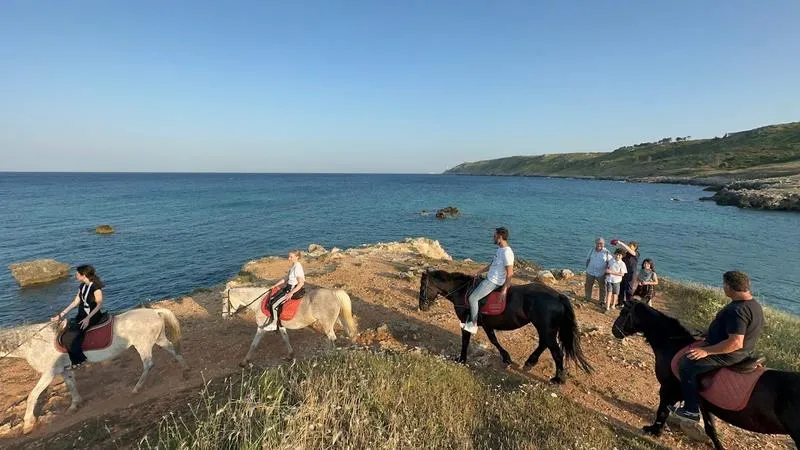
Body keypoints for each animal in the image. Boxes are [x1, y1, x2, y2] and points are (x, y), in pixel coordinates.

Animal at [0, 308, 188, 434]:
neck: (34, 342)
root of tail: (154, 312)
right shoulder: (64, 370)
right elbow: (71, 386)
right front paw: (74, 405)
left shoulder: (49, 373)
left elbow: (32, 396)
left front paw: (28, 424)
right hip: (158, 339)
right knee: (172, 349)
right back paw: (184, 368)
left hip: (143, 344)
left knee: (148, 364)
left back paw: (137, 388)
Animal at [222, 286, 357, 366]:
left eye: (224, 302)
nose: (224, 317)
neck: (261, 302)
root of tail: (334, 293)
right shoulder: (281, 326)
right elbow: (286, 339)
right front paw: (290, 355)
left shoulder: (261, 328)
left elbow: (254, 344)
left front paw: (245, 361)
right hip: (339, 318)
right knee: (348, 332)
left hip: (327, 324)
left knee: (332, 338)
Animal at [418, 270, 592, 384]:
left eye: (422, 286)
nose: (422, 306)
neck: (464, 292)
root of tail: (558, 296)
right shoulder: (487, 324)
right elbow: (493, 340)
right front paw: (506, 357)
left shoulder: (467, 321)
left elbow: (466, 341)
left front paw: (461, 359)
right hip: (546, 329)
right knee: (544, 344)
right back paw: (530, 362)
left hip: (546, 328)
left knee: (556, 352)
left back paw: (558, 378)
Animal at [612, 301, 800, 449]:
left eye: (623, 313)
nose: (614, 331)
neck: (673, 345)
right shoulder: (703, 402)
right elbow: (710, 428)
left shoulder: (668, 389)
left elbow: (662, 411)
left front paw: (654, 430)